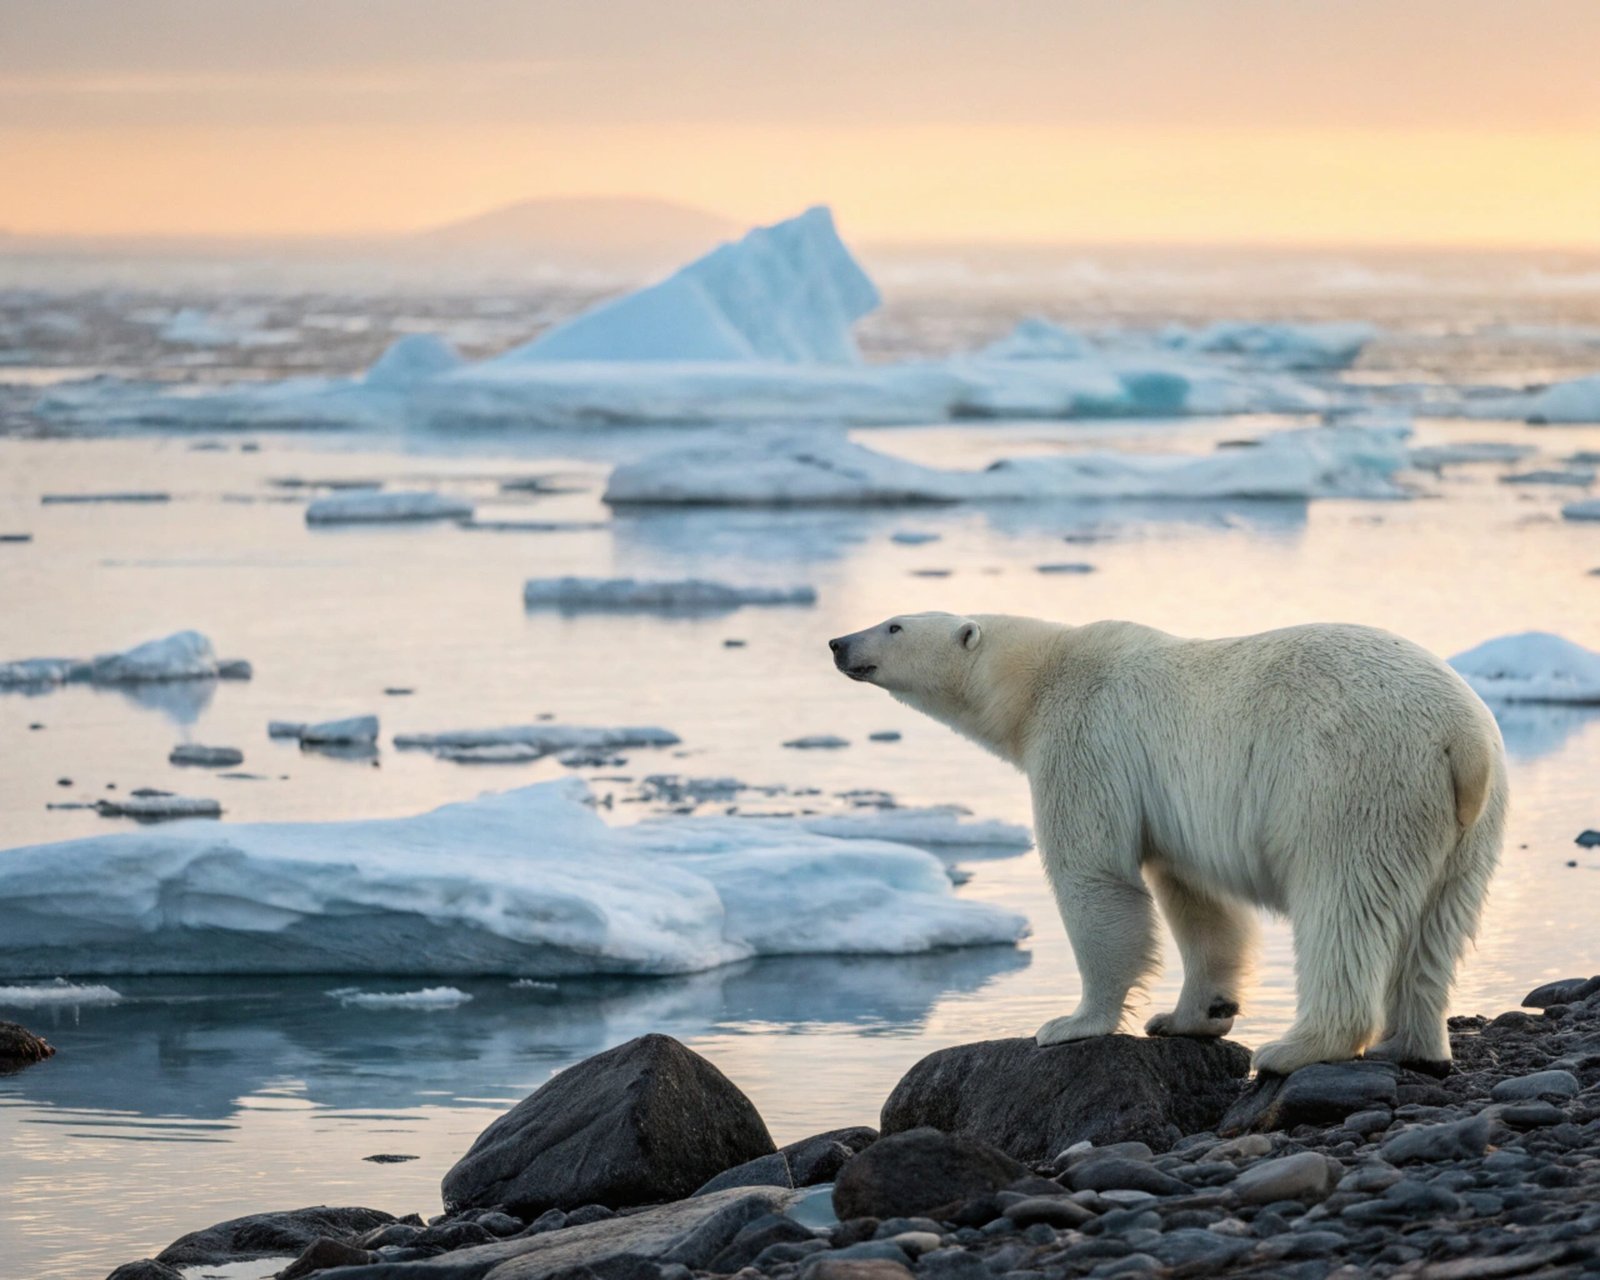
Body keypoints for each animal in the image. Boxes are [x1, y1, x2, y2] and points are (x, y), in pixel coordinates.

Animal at [828, 612, 1506, 1075]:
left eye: (894, 624)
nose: (837, 643)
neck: (1042, 670)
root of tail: (1461, 741)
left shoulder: (1084, 736)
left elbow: (1094, 874)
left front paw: (1071, 1024)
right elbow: (1199, 901)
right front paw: (1191, 1017)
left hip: (1354, 783)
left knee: (1344, 904)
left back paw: (1295, 1048)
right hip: (1468, 824)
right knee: (1438, 926)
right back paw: (1412, 1044)